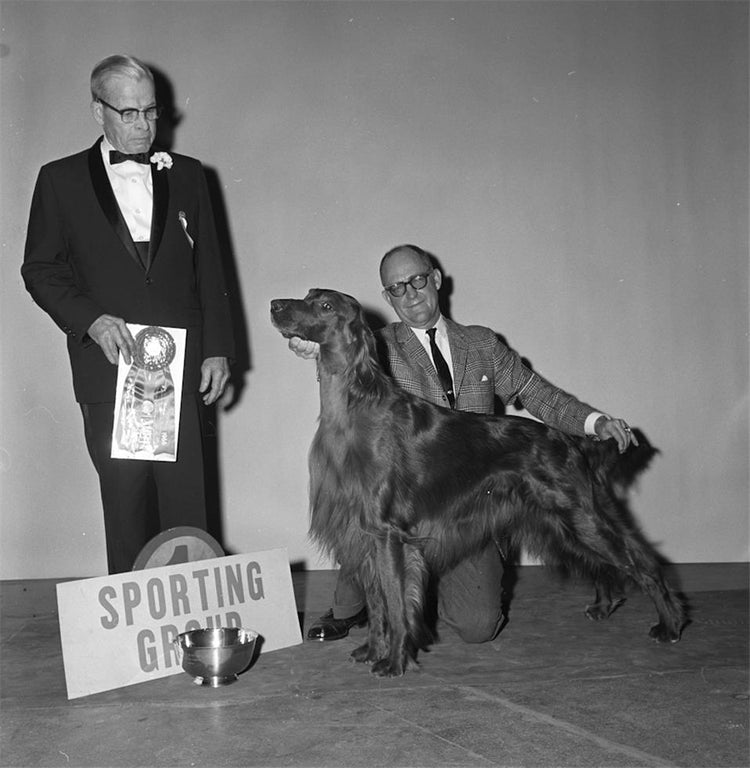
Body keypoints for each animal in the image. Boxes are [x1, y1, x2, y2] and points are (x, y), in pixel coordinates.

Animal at [270, 290, 688, 680]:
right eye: (307, 296)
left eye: (325, 305)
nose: (275, 305)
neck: (353, 404)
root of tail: (570, 442)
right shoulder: (360, 532)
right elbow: (376, 604)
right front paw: (373, 650)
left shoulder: (387, 533)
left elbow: (394, 600)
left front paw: (394, 661)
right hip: (561, 523)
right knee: (604, 564)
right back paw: (604, 605)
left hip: (580, 516)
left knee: (643, 564)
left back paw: (670, 625)